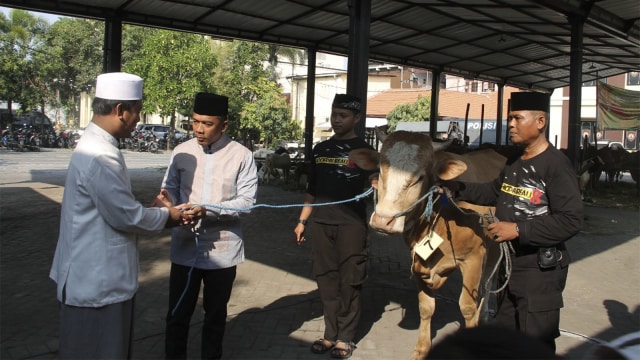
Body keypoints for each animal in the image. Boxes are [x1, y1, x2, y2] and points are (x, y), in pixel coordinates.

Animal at [350, 131, 504, 358]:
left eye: (420, 177)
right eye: (380, 169)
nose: (383, 221)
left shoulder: (473, 257)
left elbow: (467, 307)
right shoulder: (419, 261)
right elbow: (426, 307)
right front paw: (421, 349)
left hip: (494, 245)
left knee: (488, 281)